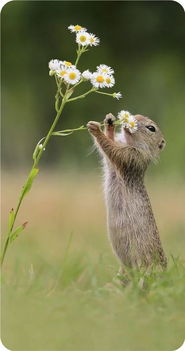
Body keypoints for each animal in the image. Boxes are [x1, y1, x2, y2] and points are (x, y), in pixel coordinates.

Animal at [87, 114, 167, 274]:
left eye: (151, 128)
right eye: (137, 115)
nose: (133, 117)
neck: (131, 142)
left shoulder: (132, 156)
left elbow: (112, 149)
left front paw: (95, 129)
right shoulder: (116, 161)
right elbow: (109, 153)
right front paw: (109, 122)